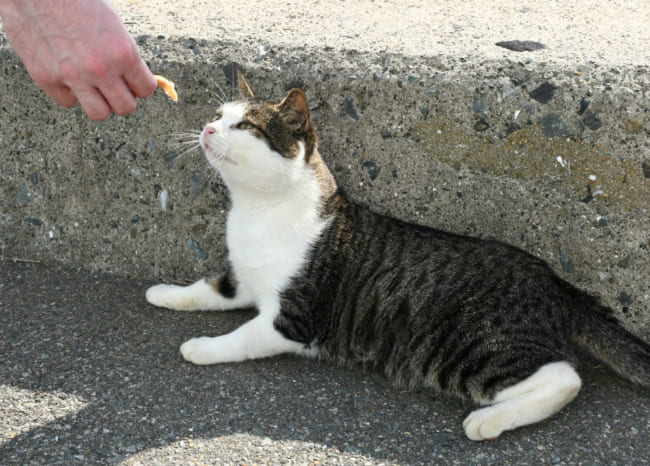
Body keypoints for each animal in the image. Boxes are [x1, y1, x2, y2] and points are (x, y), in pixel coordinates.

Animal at [144, 72, 644, 440]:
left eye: (244, 126)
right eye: (218, 114)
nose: (207, 128)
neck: (256, 210)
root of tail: (555, 282)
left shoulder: (294, 319)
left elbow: (243, 338)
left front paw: (203, 347)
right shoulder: (243, 280)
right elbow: (207, 288)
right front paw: (164, 292)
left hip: (469, 349)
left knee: (563, 377)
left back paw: (489, 420)